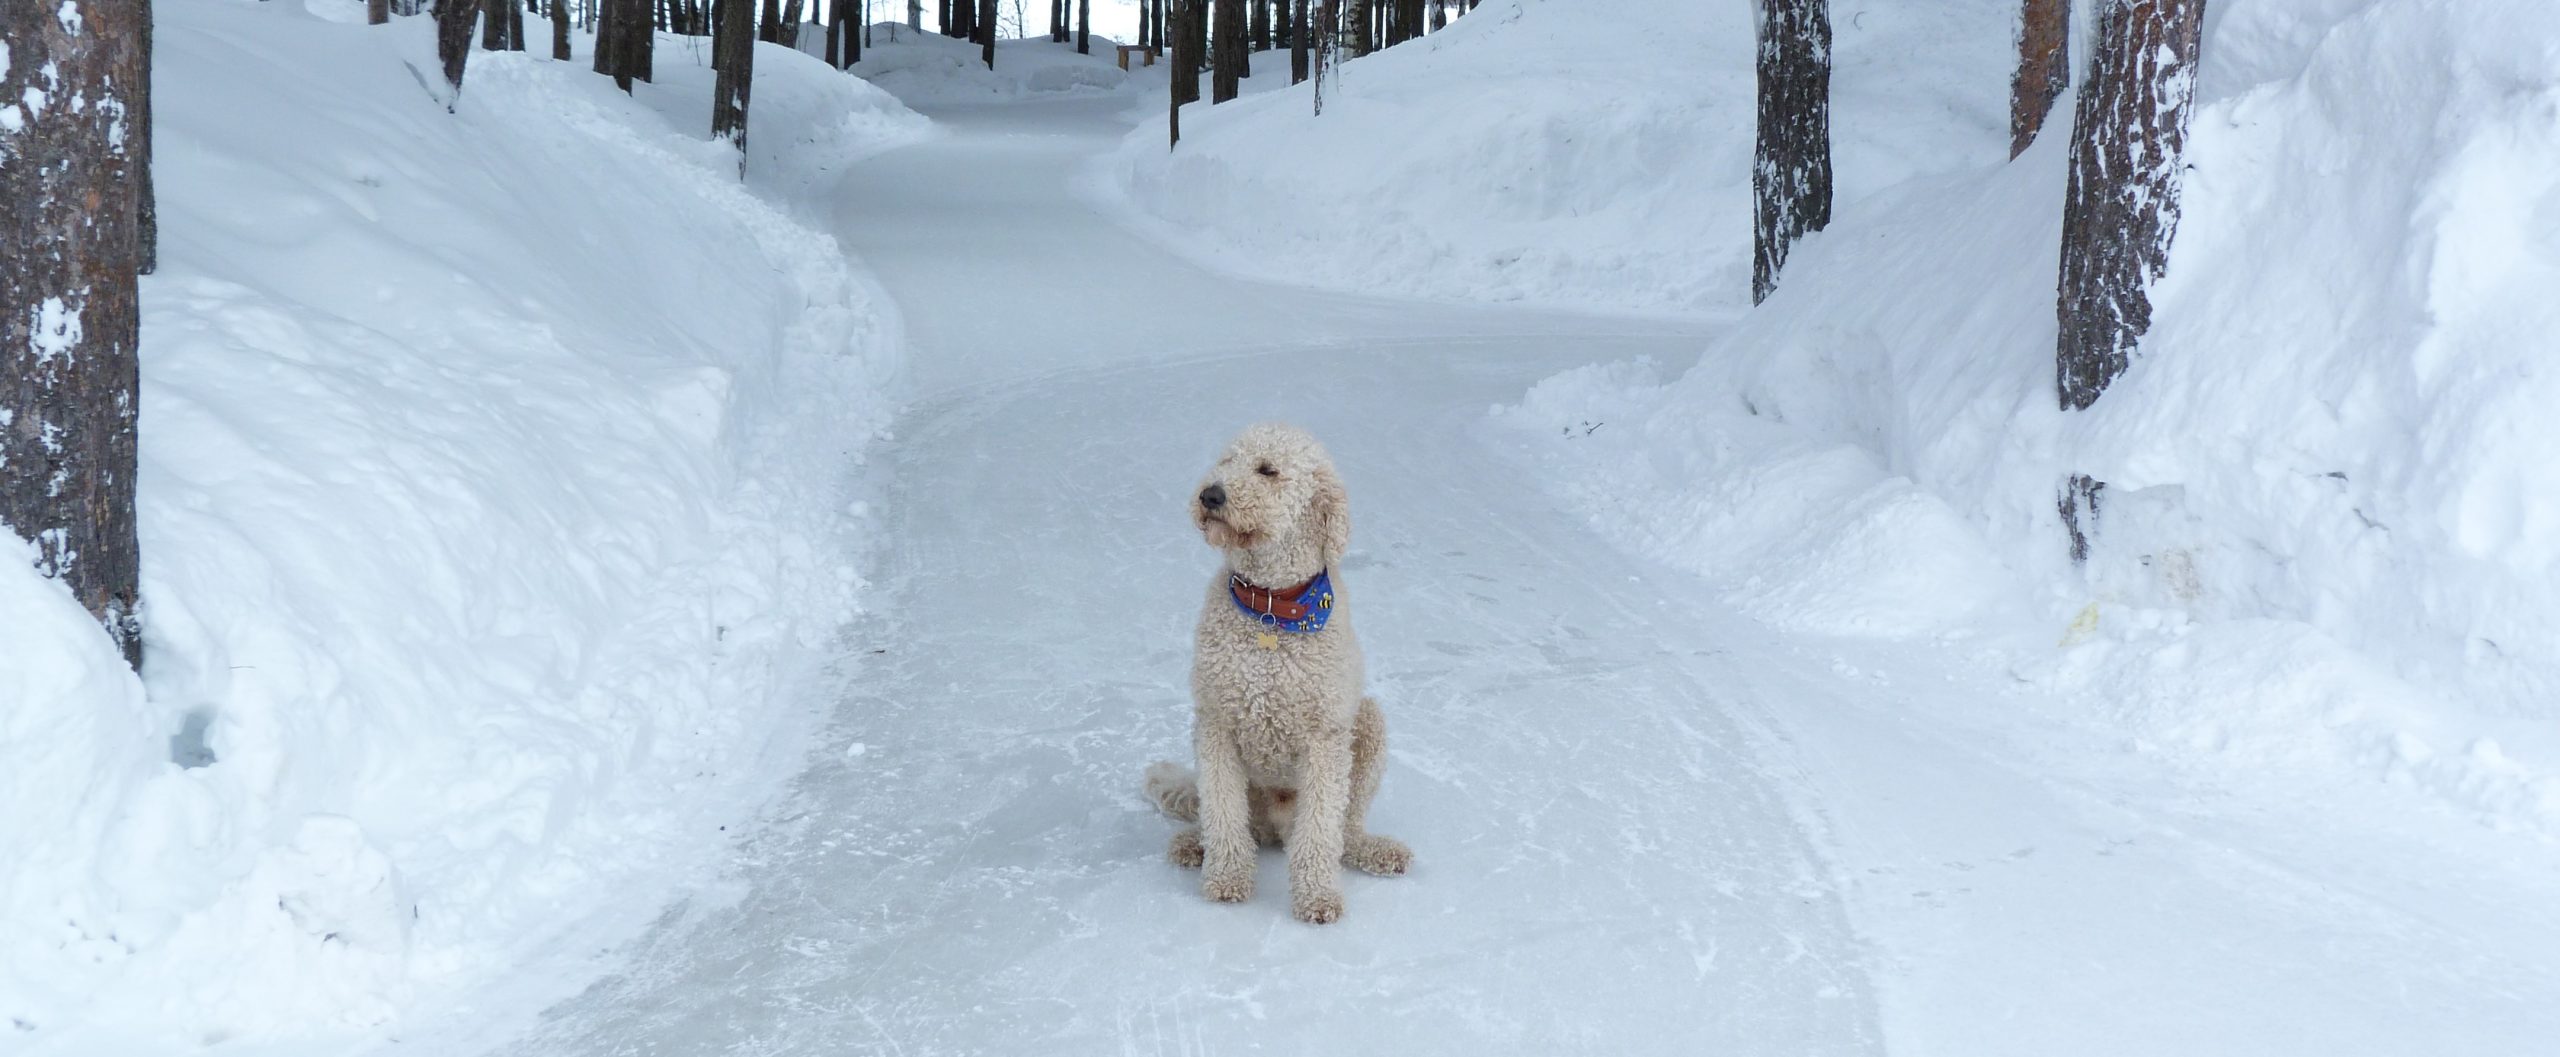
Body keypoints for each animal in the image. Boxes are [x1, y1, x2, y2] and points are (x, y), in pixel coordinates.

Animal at [1146, 419, 1413, 921]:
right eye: (1227, 460)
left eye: (1268, 470)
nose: (1210, 494)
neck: (1271, 608)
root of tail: (1275, 828)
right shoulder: (1217, 725)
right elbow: (1223, 813)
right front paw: (1227, 879)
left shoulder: (1325, 739)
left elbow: (1320, 831)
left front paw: (1317, 896)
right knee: (1226, 819)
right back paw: (1196, 844)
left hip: (1367, 725)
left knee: (1344, 831)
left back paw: (1373, 850)